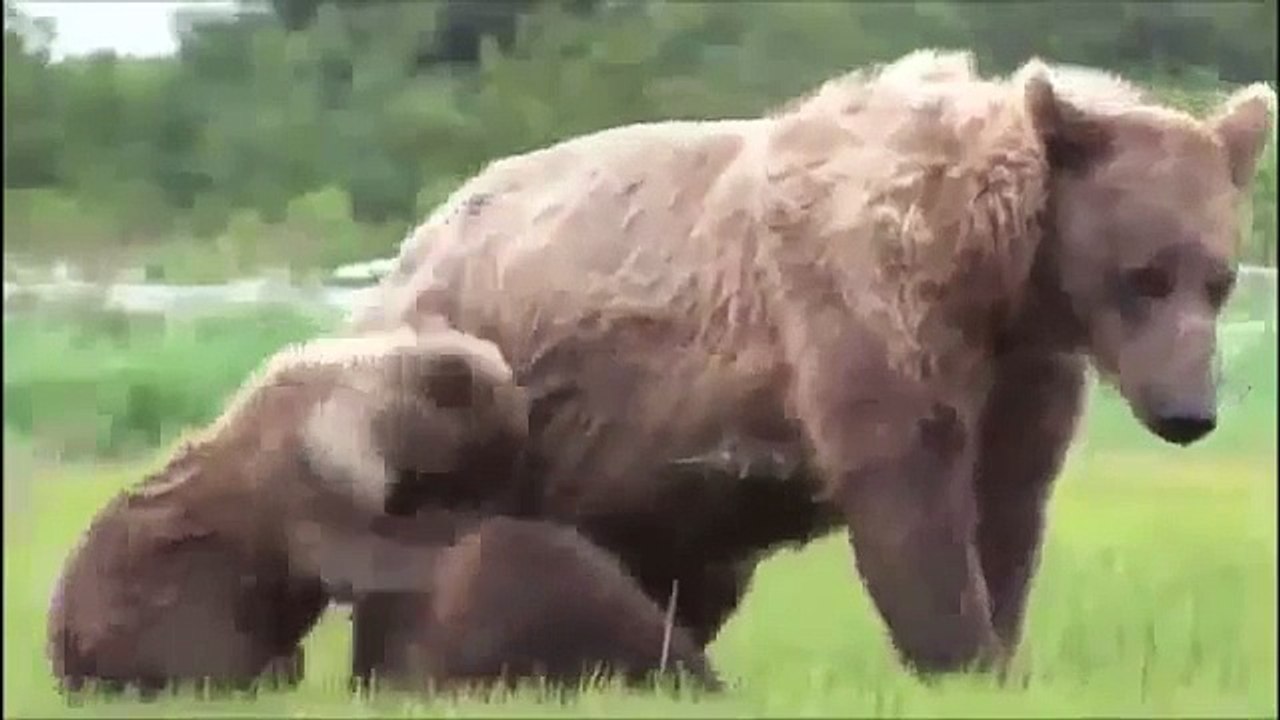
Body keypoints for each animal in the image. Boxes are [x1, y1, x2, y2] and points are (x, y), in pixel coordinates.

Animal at [47, 326, 531, 696]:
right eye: (500, 441)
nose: (513, 469)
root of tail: (63, 648)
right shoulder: (310, 480)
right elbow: (364, 554)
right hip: (147, 605)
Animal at [347, 50, 1276, 675]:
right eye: (1143, 276)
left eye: (1218, 278)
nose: (1189, 412)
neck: (1003, 274)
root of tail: (402, 260)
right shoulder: (868, 310)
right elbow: (911, 499)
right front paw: (961, 654)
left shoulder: (1024, 369)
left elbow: (1008, 507)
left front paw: (1001, 649)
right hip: (474, 399)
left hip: (630, 473)